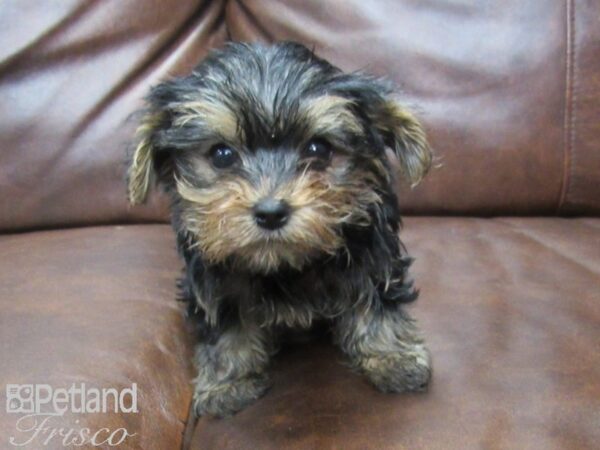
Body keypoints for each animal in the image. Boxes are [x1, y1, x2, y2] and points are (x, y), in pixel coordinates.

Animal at [126, 40, 432, 416]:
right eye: (221, 154)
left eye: (318, 148)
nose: (271, 212)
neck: (285, 264)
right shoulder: (213, 276)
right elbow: (224, 320)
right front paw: (228, 382)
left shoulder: (371, 250)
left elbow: (376, 297)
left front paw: (392, 357)